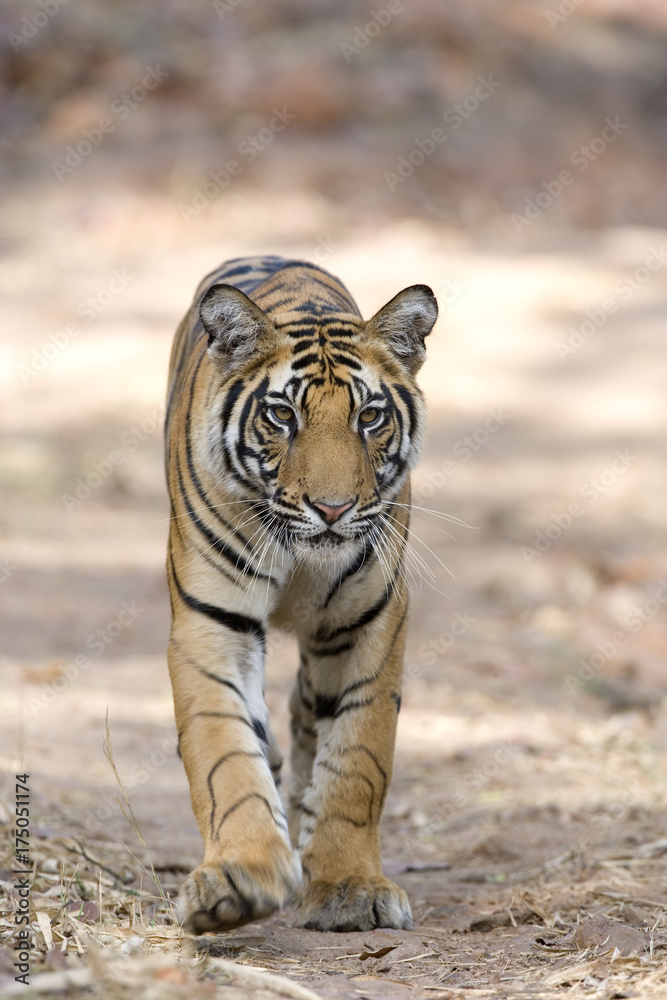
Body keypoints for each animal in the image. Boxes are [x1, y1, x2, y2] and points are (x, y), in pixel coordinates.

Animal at [165, 254, 438, 934]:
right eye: (283, 416)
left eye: (369, 416)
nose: (333, 508)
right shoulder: (211, 624)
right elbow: (224, 753)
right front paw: (239, 877)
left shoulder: (371, 620)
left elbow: (359, 759)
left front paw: (349, 886)